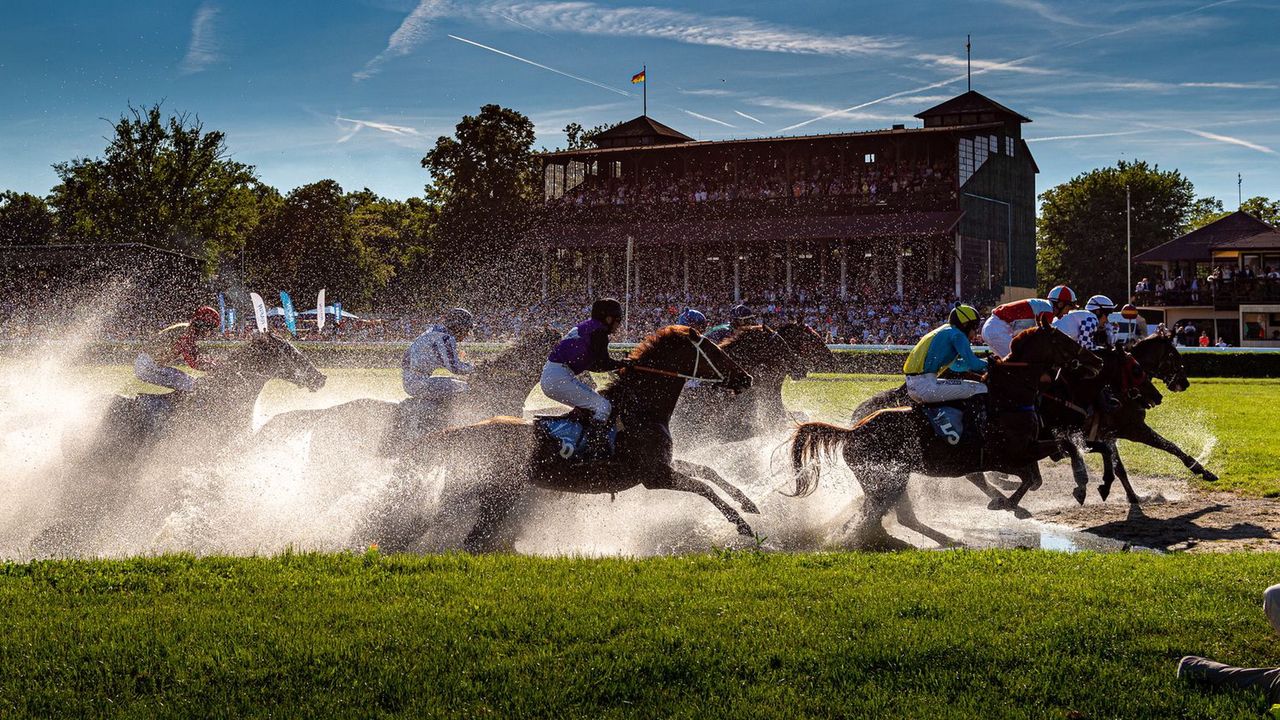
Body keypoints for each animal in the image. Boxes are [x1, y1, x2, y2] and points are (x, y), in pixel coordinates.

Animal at [384, 325, 752, 548]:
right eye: (714, 350)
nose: (745, 378)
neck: (638, 410)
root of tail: (464, 430)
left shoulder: (663, 464)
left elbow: (707, 470)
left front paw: (750, 502)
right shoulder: (654, 476)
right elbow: (703, 488)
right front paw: (742, 525)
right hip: (497, 496)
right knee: (474, 540)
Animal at [783, 322, 1105, 545]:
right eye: (1062, 339)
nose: (1097, 361)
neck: (1009, 395)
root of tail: (852, 432)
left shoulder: (1025, 449)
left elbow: (1038, 474)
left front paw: (1010, 503)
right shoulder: (1008, 454)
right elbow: (1053, 457)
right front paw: (1075, 486)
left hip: (892, 478)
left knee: (893, 515)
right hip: (887, 479)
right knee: (874, 514)